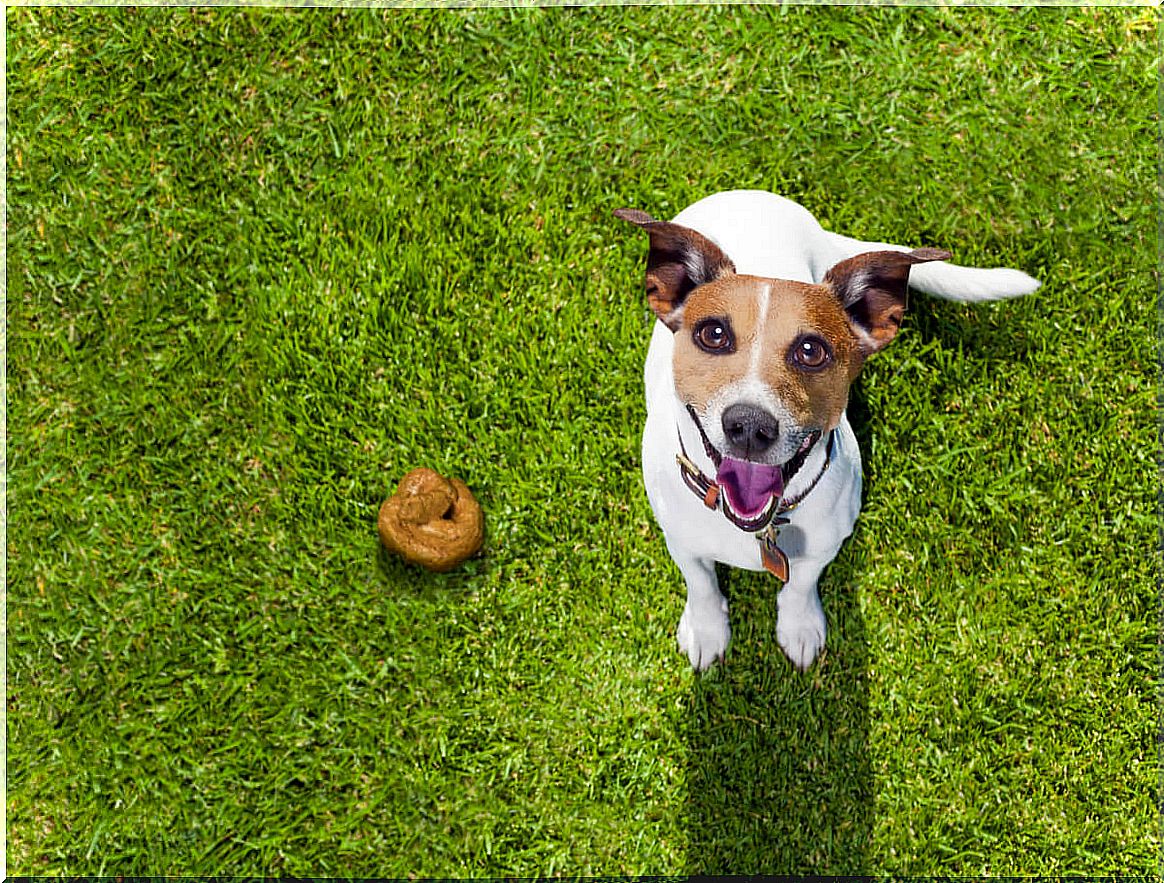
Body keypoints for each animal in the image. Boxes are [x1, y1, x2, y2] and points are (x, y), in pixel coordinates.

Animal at [614, 191, 1042, 670]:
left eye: (811, 350)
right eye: (714, 334)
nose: (749, 426)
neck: (760, 526)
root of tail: (753, 195)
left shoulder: (825, 544)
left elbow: (800, 585)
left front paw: (799, 627)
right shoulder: (680, 539)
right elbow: (700, 581)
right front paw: (707, 630)